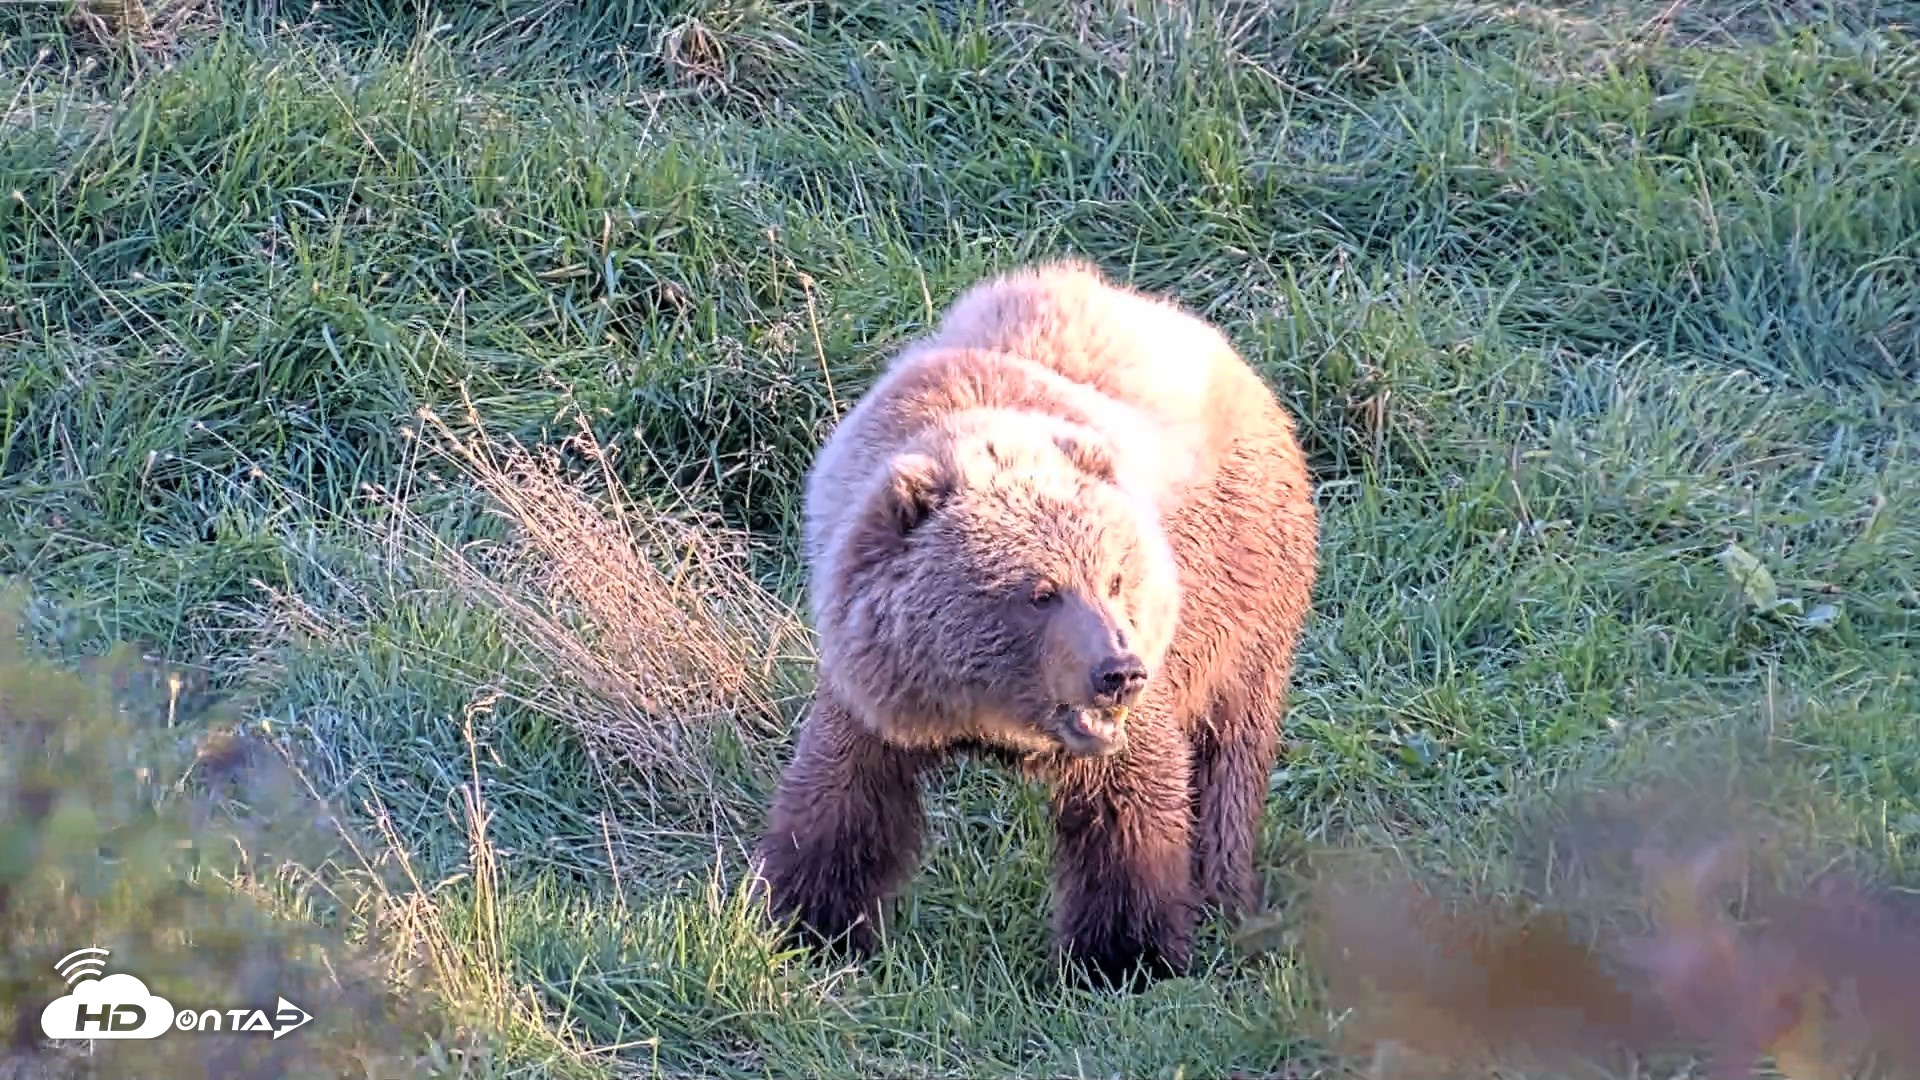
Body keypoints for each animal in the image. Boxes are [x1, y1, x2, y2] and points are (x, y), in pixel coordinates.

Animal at [750, 257, 1319, 987]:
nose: (1118, 672)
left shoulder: (1139, 700)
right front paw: (809, 922)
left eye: (1113, 579)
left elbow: (1129, 809)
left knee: (1231, 755)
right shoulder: (876, 683)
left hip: (1246, 594)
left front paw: (1125, 955)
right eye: (1041, 592)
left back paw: (1225, 891)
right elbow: (842, 800)